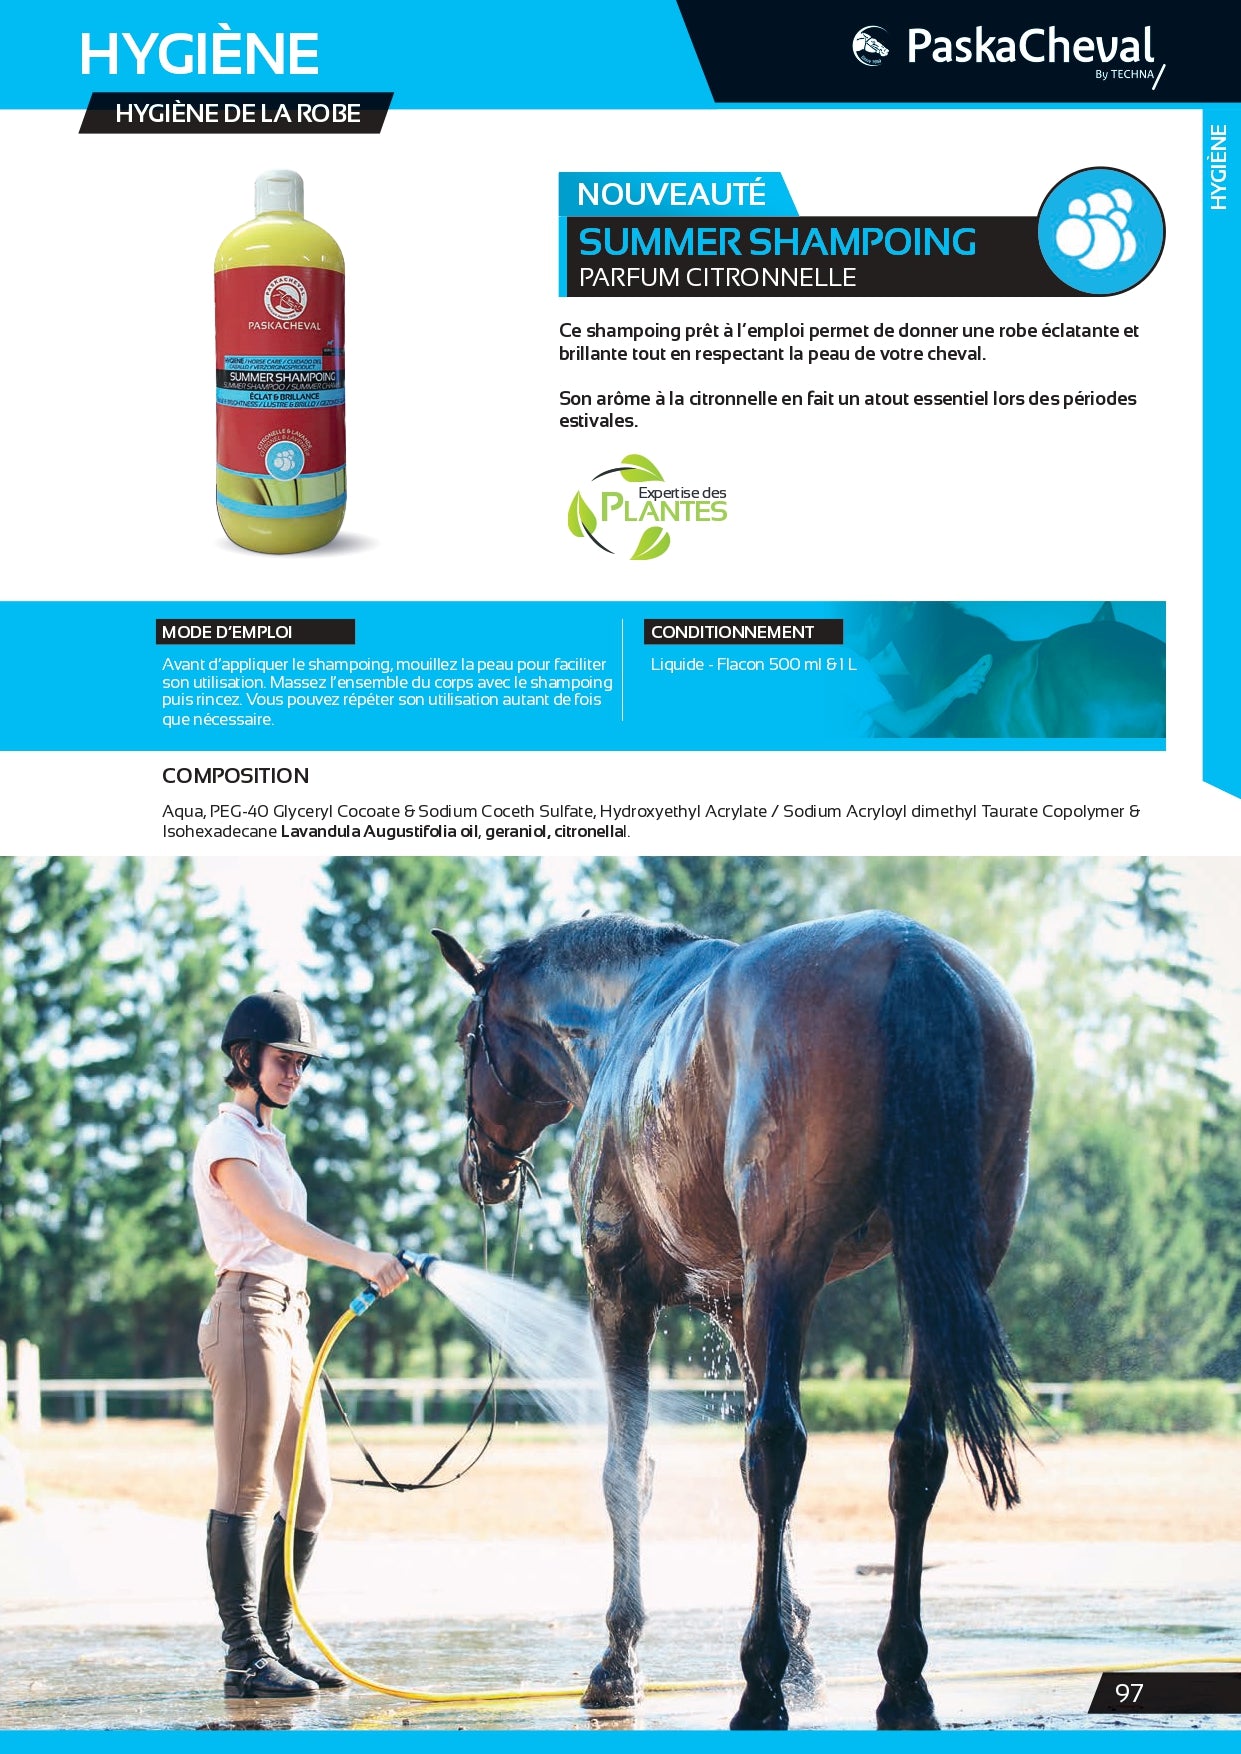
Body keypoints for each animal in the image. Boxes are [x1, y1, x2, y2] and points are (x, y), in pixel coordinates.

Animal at [434, 912, 1035, 1731]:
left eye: (469, 1037)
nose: (478, 1170)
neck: (622, 1019)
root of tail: (910, 949)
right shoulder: (742, 1308)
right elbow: (754, 1486)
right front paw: (805, 1656)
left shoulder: (619, 1294)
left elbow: (631, 1470)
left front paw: (620, 1658)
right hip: (940, 1271)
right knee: (912, 1453)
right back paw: (902, 1681)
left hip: (791, 1257)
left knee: (778, 1444)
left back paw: (760, 1685)